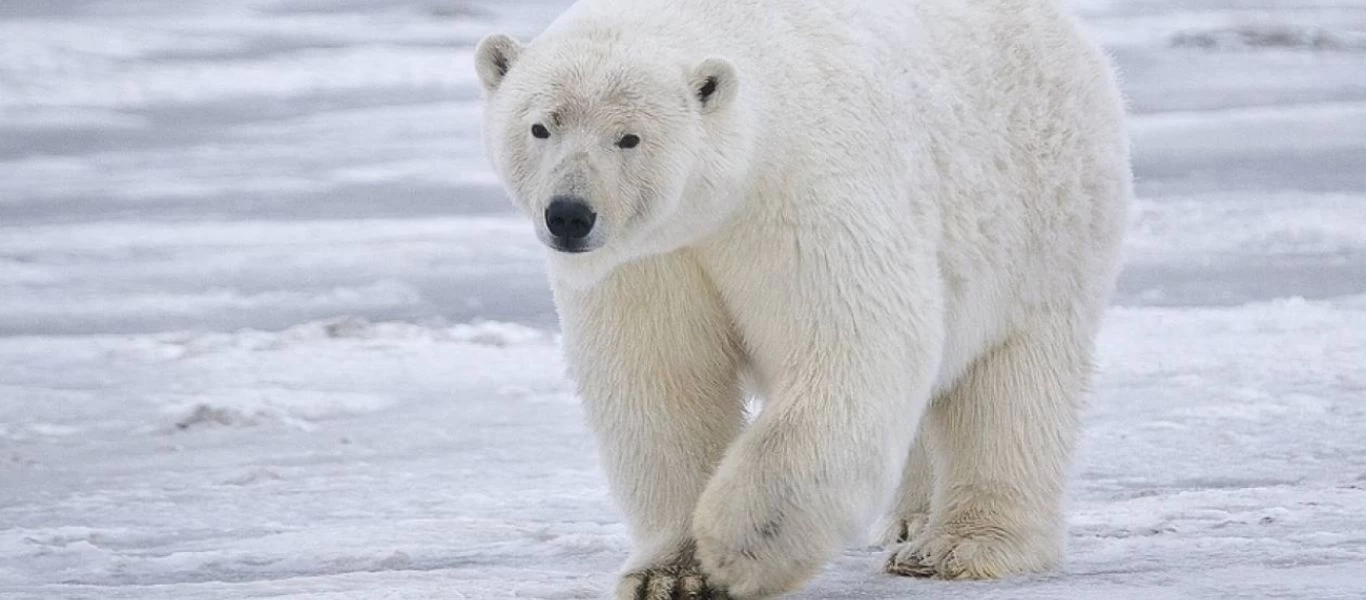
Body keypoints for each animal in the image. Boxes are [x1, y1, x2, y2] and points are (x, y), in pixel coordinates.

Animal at [475, 0, 1125, 595]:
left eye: (629, 137)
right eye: (540, 126)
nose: (569, 215)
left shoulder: (804, 195)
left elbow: (851, 347)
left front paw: (739, 546)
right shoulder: (650, 260)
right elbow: (662, 383)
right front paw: (672, 573)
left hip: (1042, 216)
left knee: (1012, 386)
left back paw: (958, 547)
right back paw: (910, 521)